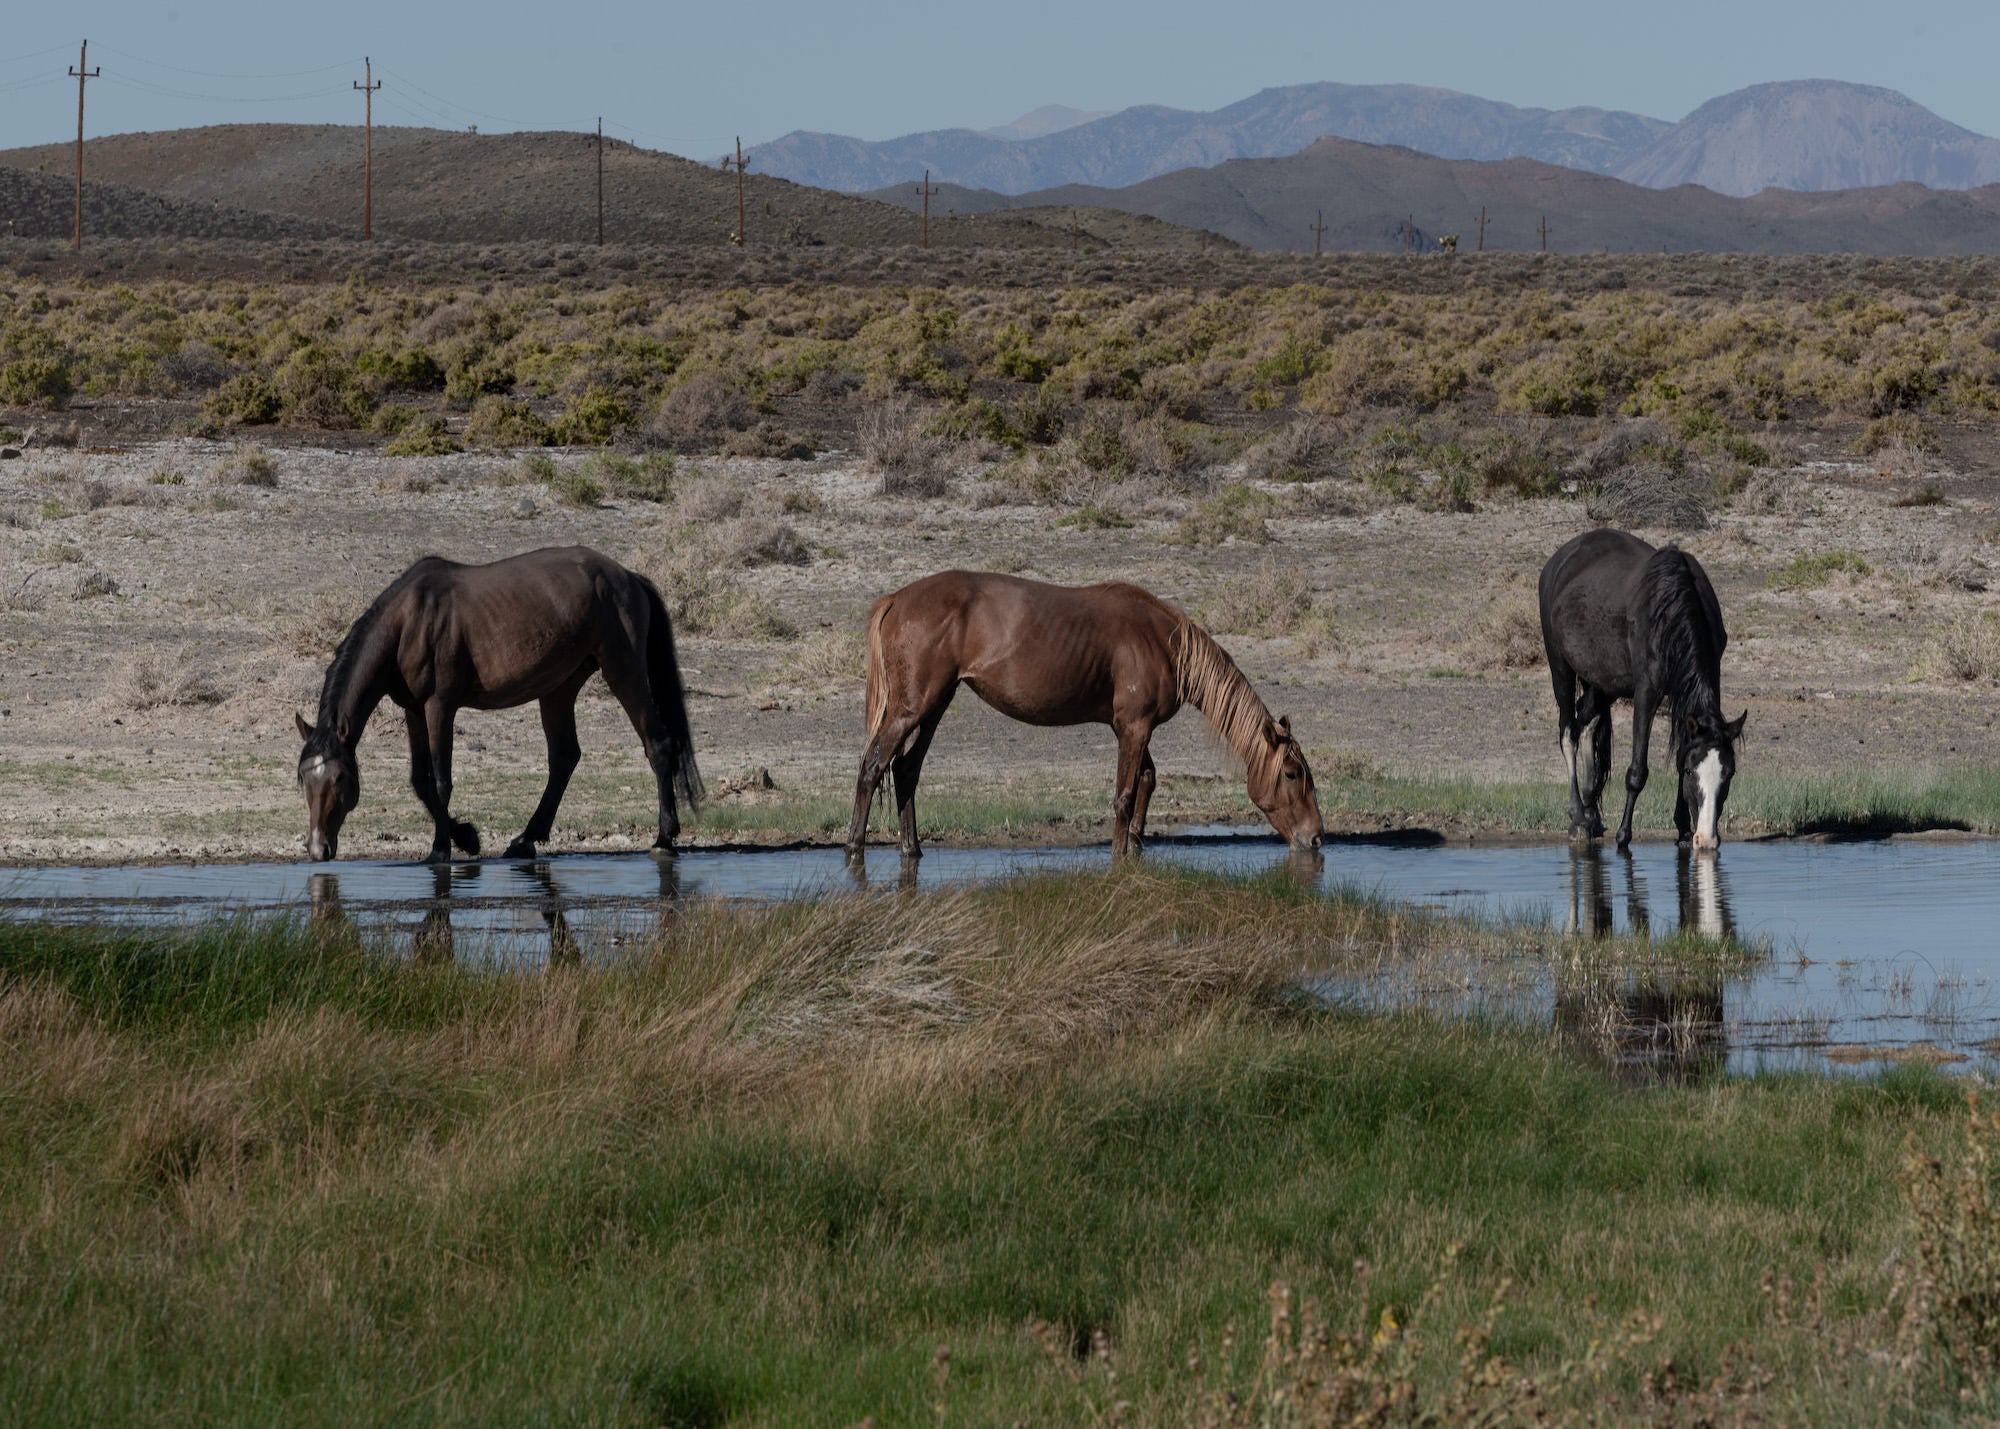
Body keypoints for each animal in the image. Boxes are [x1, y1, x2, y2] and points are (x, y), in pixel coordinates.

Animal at [292, 544, 704, 856]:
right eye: (302, 779)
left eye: (340, 777)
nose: (318, 848)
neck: (410, 622)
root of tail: (628, 577)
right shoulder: (412, 709)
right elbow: (420, 782)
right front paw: (465, 837)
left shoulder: (439, 706)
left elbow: (440, 781)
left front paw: (445, 846)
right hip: (559, 687)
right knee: (564, 757)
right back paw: (526, 838)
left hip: (623, 671)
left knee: (657, 744)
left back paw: (664, 836)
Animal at [844, 568, 1328, 856]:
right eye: (1292, 773)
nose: (1316, 837)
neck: (1163, 641)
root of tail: (896, 599)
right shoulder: (1134, 727)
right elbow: (1124, 795)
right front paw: (1118, 856)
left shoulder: (1130, 728)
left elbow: (1147, 781)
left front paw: (1135, 848)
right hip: (912, 708)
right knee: (873, 767)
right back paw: (854, 849)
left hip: (934, 705)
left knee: (905, 769)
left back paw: (912, 850)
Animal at [1536, 532, 1744, 844]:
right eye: (1691, 772)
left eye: (1728, 774)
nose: (1706, 838)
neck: (1670, 611)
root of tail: (1556, 563)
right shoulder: (1646, 692)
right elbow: (1637, 771)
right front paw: (1624, 834)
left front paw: (1683, 827)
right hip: (1560, 667)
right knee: (1568, 732)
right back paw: (1578, 818)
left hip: (1601, 683)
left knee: (1588, 722)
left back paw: (1591, 811)